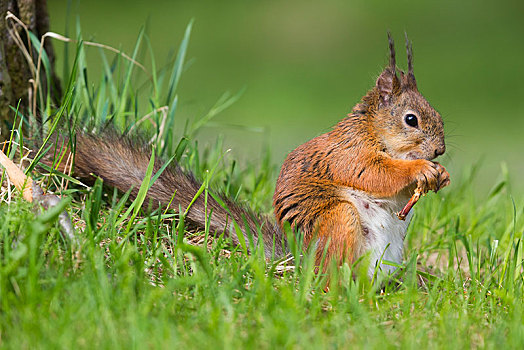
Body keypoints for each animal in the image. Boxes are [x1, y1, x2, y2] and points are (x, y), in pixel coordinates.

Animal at [52, 34, 450, 278]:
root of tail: (299, 260)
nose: (440, 150)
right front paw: (421, 169)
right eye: (411, 120)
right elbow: (375, 174)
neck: (377, 133)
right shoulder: (349, 153)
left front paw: (440, 174)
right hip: (338, 222)